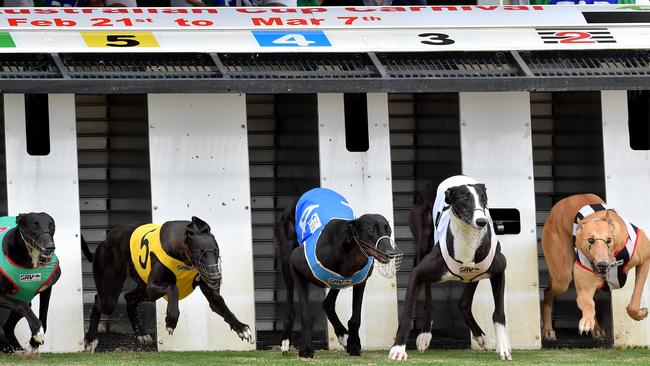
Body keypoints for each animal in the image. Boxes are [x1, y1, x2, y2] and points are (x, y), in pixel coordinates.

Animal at [0, 213, 59, 354]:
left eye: (52, 225)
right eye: (34, 226)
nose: (50, 247)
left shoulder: (46, 289)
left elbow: (43, 316)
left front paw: (34, 341)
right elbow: (21, 305)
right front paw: (37, 331)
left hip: (26, 298)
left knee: (7, 327)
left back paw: (17, 349)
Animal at [81, 216, 253, 350]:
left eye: (216, 251)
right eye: (199, 252)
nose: (216, 278)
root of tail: (105, 240)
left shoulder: (211, 295)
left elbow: (222, 307)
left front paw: (241, 327)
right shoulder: (153, 286)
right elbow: (173, 288)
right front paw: (171, 320)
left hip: (144, 291)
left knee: (129, 298)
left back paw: (141, 334)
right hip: (111, 293)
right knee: (99, 301)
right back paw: (90, 338)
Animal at [276, 187, 402, 358]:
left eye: (388, 230)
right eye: (370, 229)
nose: (391, 253)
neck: (349, 252)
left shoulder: (360, 282)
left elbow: (355, 319)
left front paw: (354, 344)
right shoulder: (296, 266)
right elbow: (306, 315)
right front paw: (306, 349)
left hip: (338, 280)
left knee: (327, 303)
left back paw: (343, 335)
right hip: (286, 258)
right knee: (290, 302)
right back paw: (285, 341)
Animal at [388, 176, 508, 362]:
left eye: (483, 198)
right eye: (464, 198)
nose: (481, 222)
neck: (467, 240)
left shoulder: (499, 270)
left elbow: (499, 313)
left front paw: (503, 346)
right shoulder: (417, 274)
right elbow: (407, 314)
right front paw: (398, 349)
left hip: (476, 274)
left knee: (463, 303)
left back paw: (481, 336)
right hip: (423, 238)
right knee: (429, 295)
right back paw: (425, 334)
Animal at [540, 194, 644, 340]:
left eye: (609, 240)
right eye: (590, 240)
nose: (602, 265)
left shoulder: (645, 258)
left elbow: (635, 299)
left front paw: (639, 314)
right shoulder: (584, 284)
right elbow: (587, 303)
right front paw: (587, 321)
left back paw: (597, 328)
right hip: (562, 279)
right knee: (548, 292)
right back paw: (548, 330)